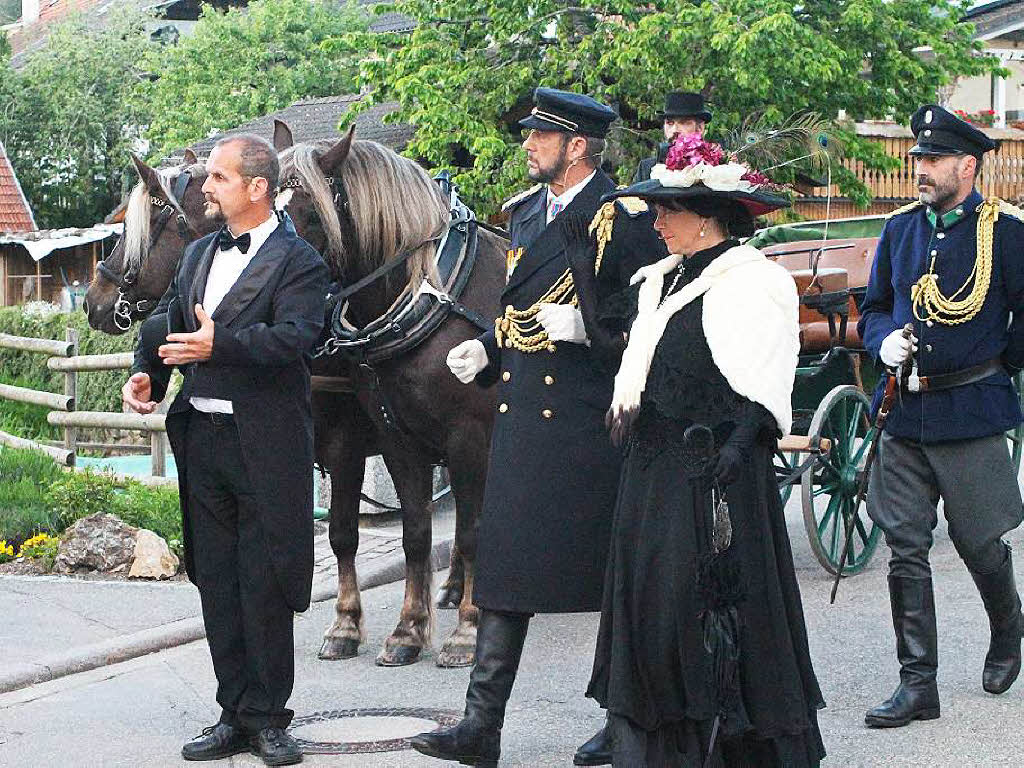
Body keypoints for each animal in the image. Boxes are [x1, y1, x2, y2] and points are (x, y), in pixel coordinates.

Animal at [276, 124, 507, 667]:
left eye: (310, 212)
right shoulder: (399, 439)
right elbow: (415, 534)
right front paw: (407, 630)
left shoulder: (470, 439)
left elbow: (471, 532)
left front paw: (466, 634)